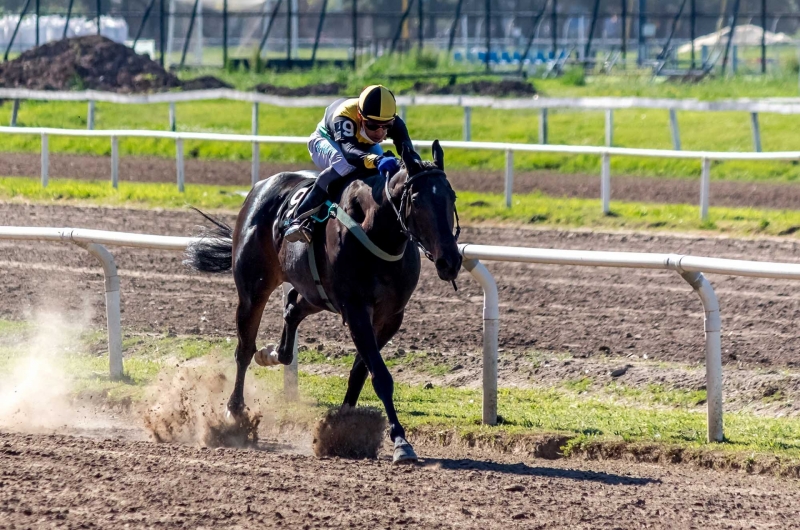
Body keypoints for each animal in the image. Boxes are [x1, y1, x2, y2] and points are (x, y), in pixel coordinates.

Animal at [184, 142, 460, 460]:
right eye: (416, 200)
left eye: (451, 196)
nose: (450, 261)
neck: (378, 232)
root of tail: (259, 188)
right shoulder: (355, 309)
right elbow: (380, 375)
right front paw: (401, 441)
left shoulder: (391, 316)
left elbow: (360, 372)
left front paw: (343, 427)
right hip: (253, 289)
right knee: (244, 348)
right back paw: (234, 413)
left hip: (316, 292)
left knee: (292, 307)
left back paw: (274, 353)